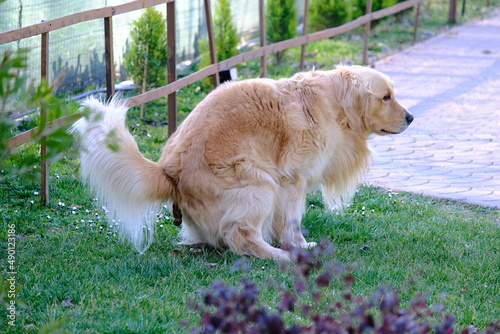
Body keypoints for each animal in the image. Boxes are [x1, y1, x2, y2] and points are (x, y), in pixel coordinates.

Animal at [71, 64, 414, 260]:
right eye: (386, 97)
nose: (411, 117)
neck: (334, 104)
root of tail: (168, 171)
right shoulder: (292, 180)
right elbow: (292, 222)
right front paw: (297, 247)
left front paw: (300, 245)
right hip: (256, 180)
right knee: (241, 237)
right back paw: (280, 257)